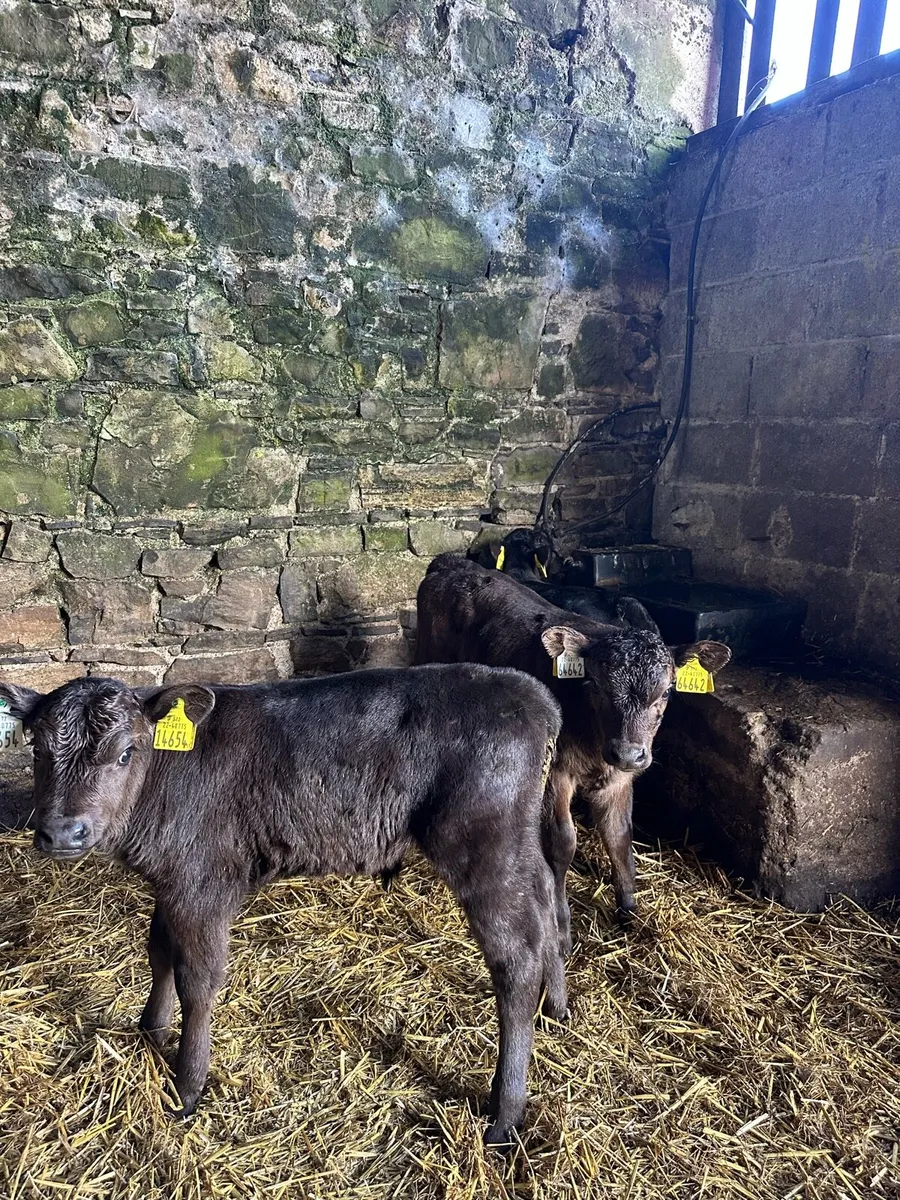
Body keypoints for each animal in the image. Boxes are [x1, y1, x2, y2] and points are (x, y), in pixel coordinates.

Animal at [0, 664, 565, 1147]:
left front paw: (187, 1087)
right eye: (39, 751)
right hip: (517, 846)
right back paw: (556, 1008)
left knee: (516, 960)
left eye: (124, 753)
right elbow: (158, 951)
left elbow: (197, 981)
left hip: (482, 846)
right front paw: (151, 1031)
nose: (61, 832)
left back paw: (505, 1113)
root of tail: (532, 694)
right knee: (546, 905)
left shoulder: (202, 884)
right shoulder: (171, 883)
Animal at [414, 555, 731, 943]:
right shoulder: (556, 773)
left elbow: (619, 836)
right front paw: (562, 924)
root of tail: (453, 562)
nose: (628, 752)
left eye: (668, 690)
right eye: (593, 682)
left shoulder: (619, 779)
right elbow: (562, 842)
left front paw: (629, 909)